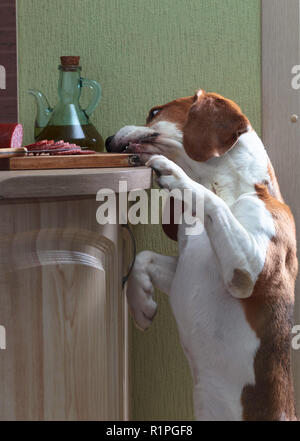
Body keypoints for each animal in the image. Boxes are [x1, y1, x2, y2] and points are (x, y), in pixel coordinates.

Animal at [105, 89, 298, 420]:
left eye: (154, 112)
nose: (105, 141)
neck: (230, 190)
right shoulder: (184, 267)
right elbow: (143, 257)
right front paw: (141, 305)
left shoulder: (247, 272)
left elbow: (210, 200)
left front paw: (177, 175)